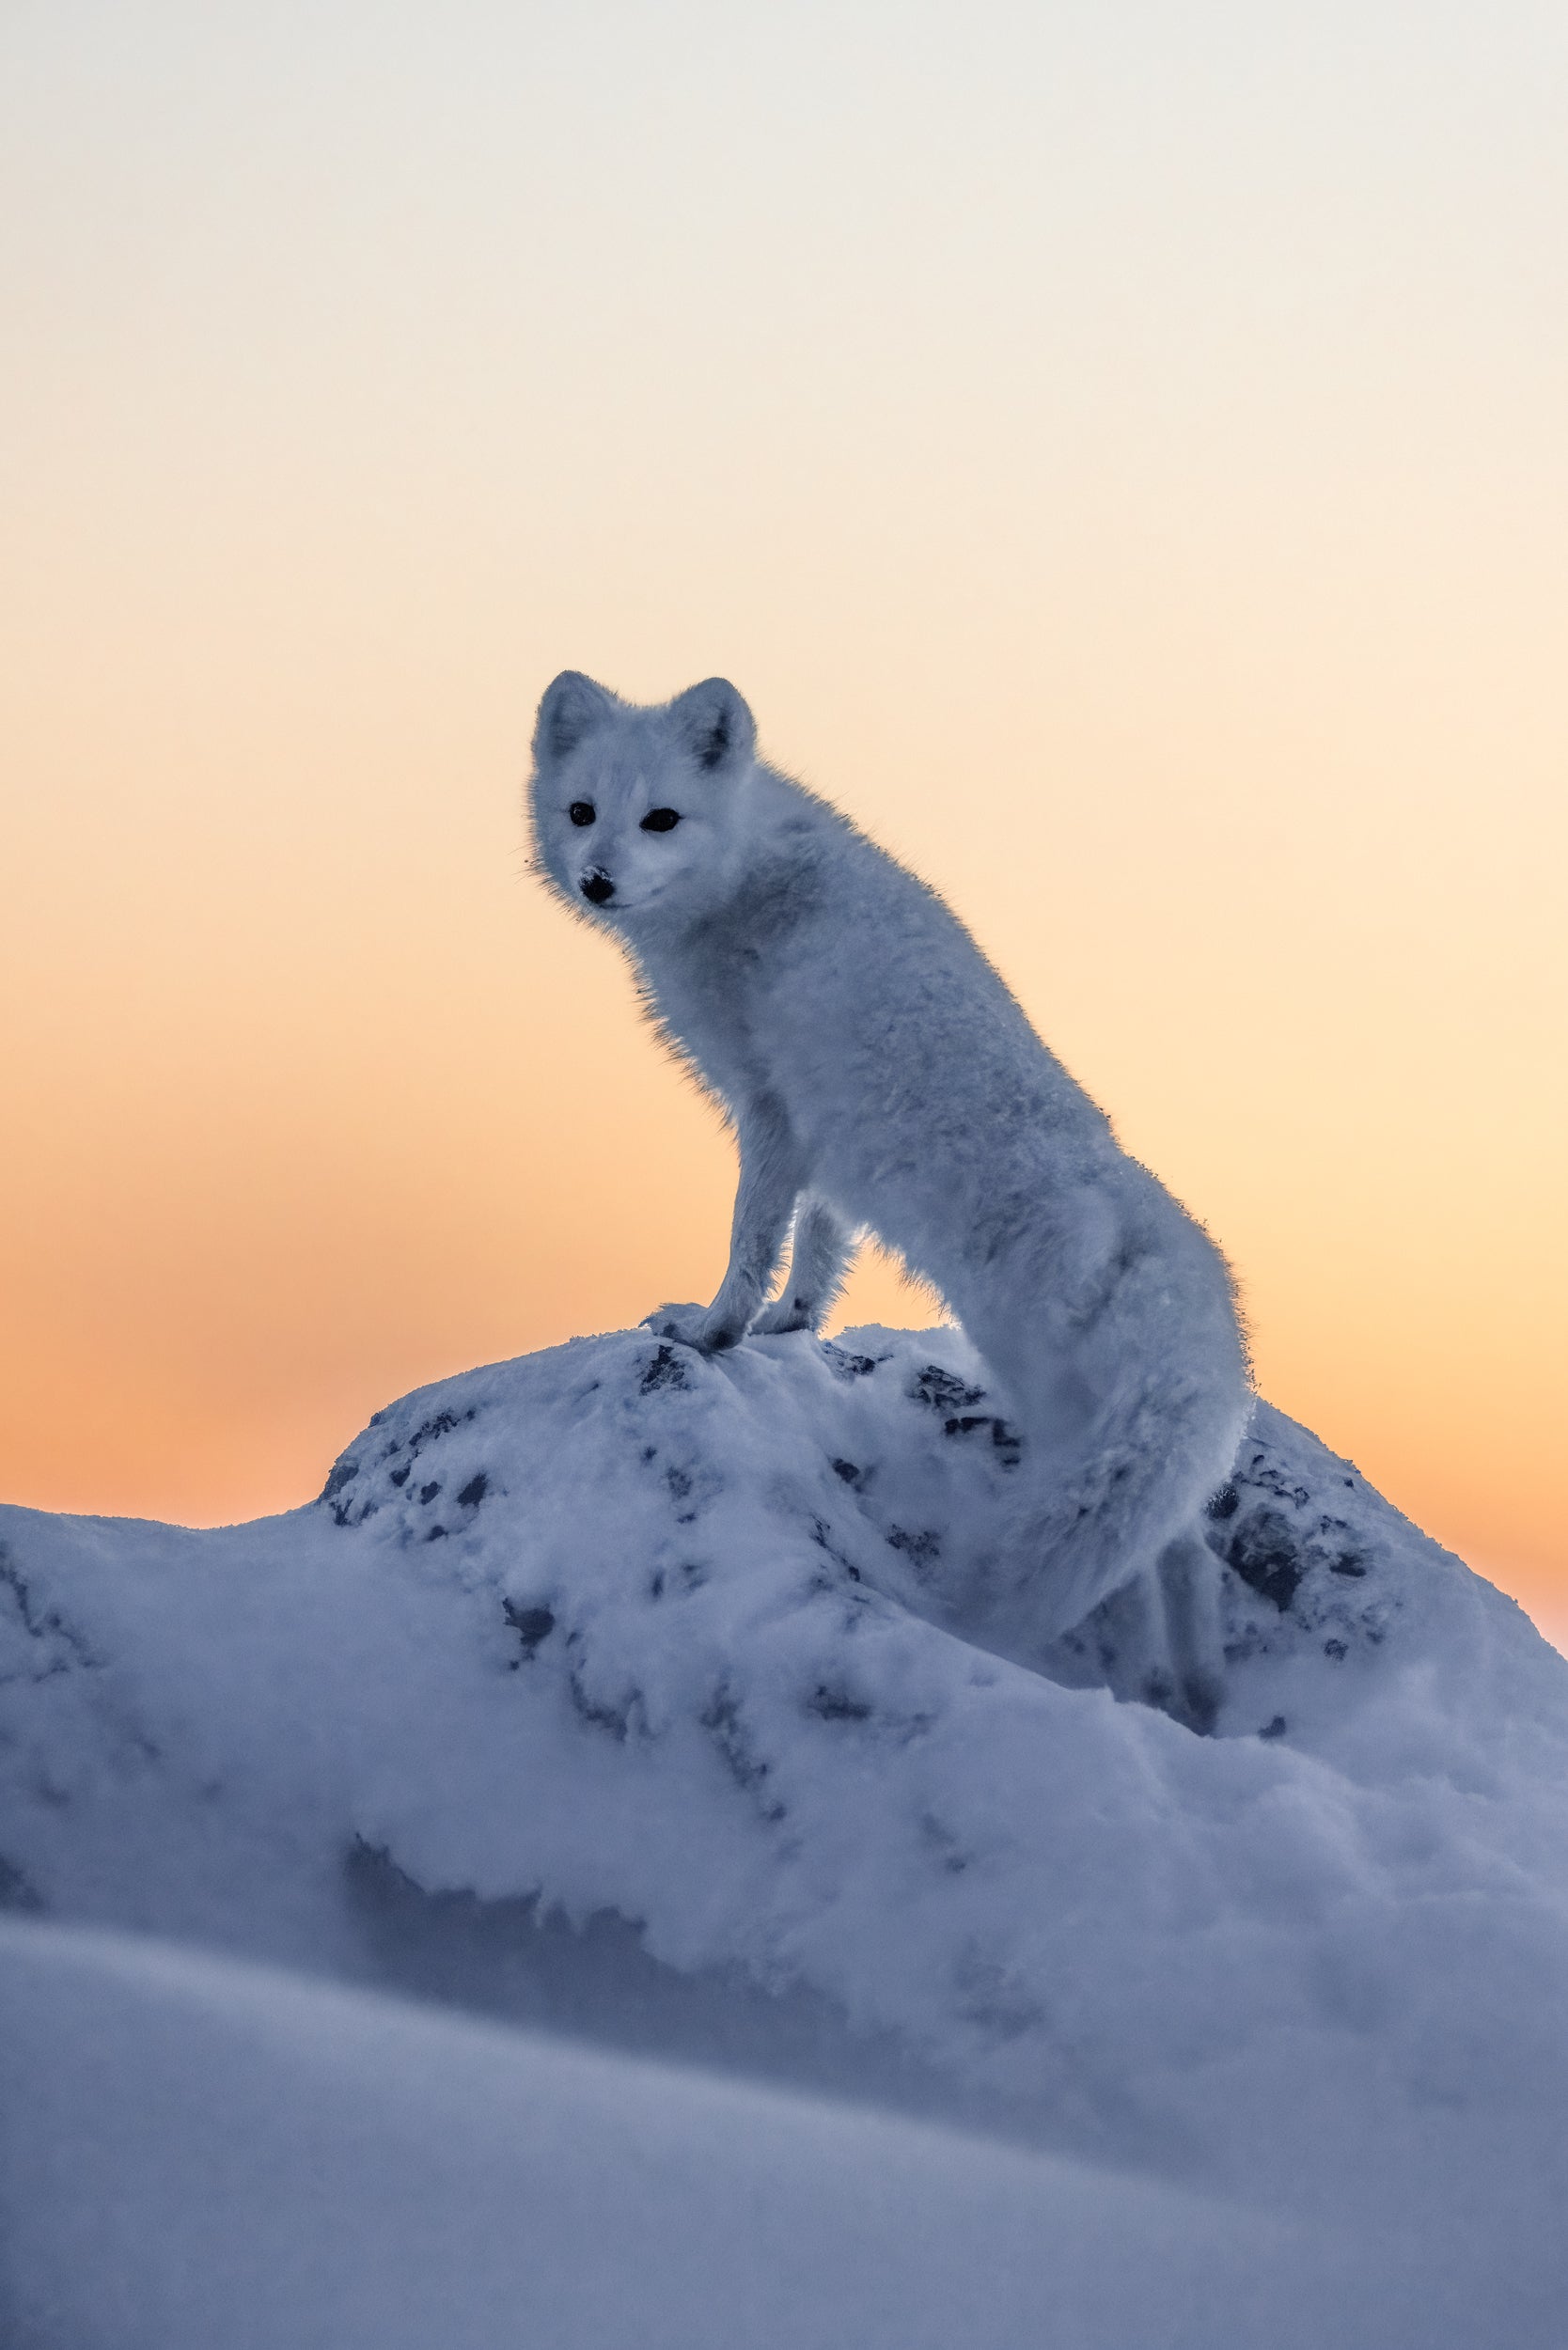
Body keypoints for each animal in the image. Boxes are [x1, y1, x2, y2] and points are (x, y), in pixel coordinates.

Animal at [529, 672, 1252, 1730]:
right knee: (1188, 1559)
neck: (746, 871)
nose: (597, 881)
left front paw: (711, 1332)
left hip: (1061, 1417)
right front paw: (792, 1325)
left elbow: (753, 1240)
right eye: (583, 812)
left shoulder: (771, 1108)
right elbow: (823, 1247)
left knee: (1143, 1568)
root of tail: (1179, 1281)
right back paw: (1195, 1699)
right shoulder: (826, 1142)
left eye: (661, 818)